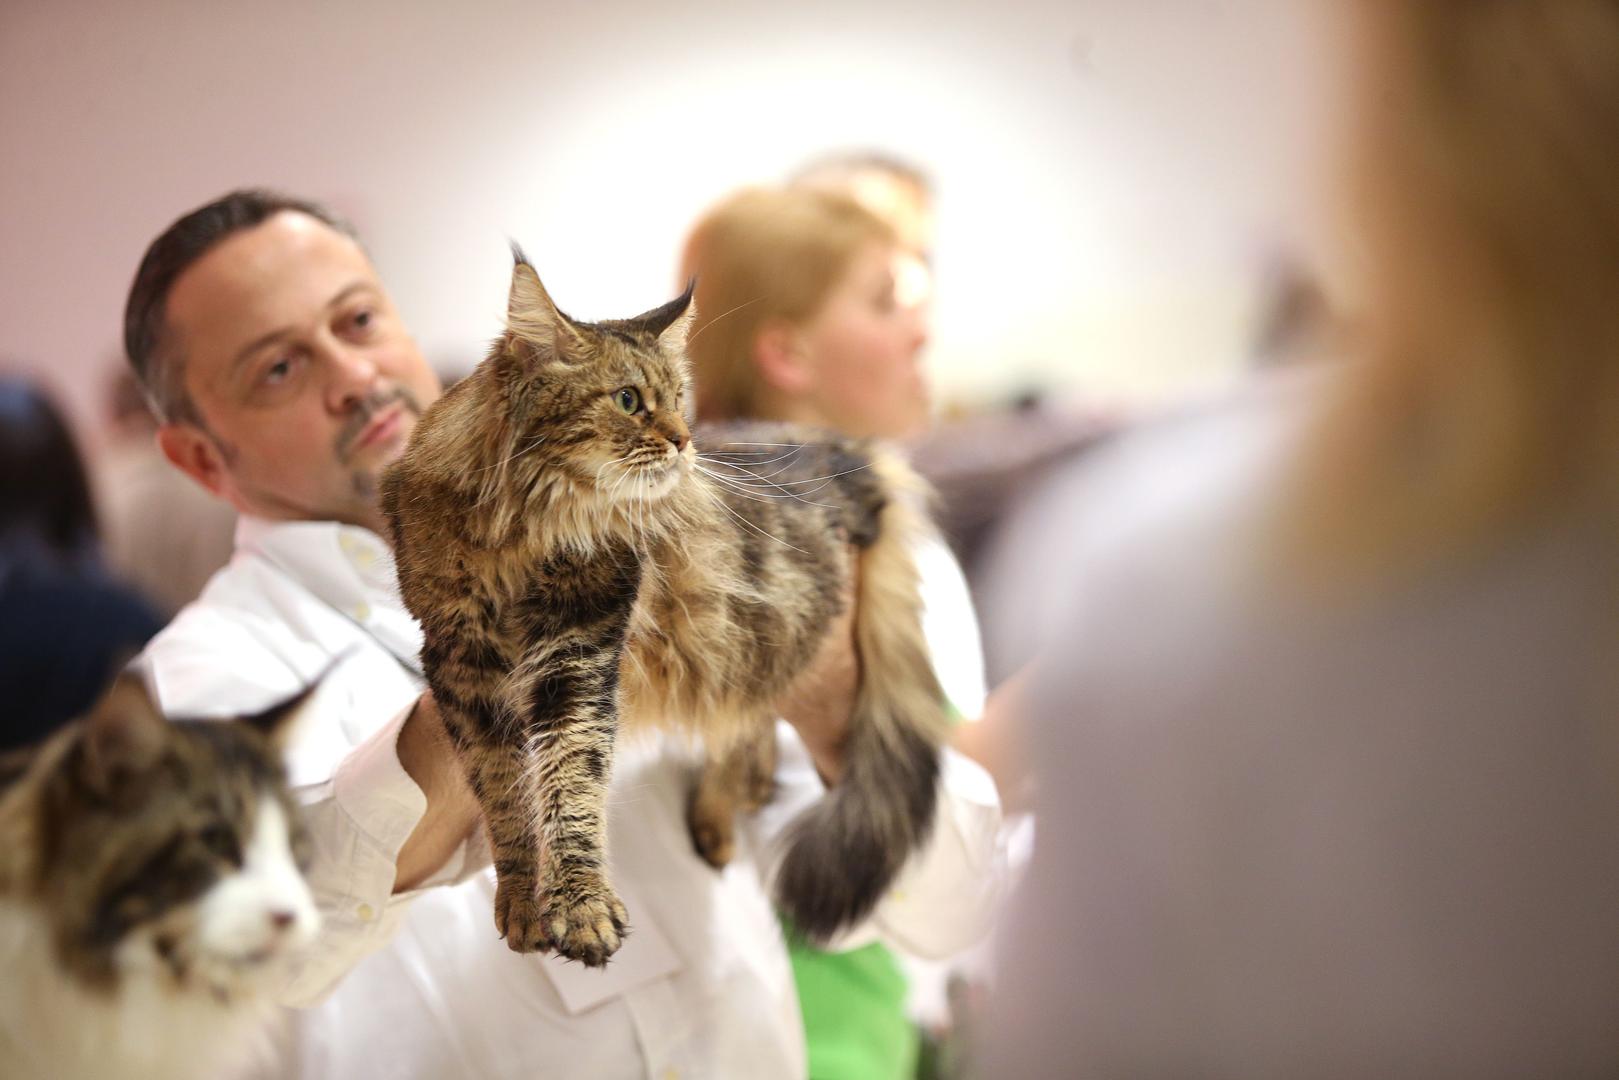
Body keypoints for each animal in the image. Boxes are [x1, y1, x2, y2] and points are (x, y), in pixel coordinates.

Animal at [382, 249, 945, 965]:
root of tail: (849, 448)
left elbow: (571, 781)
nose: (684, 441)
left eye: (679, 400)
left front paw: (581, 905)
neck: (522, 534)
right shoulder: (459, 660)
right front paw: (522, 901)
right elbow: (504, 792)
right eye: (629, 401)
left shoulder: (581, 649)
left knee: (744, 718)